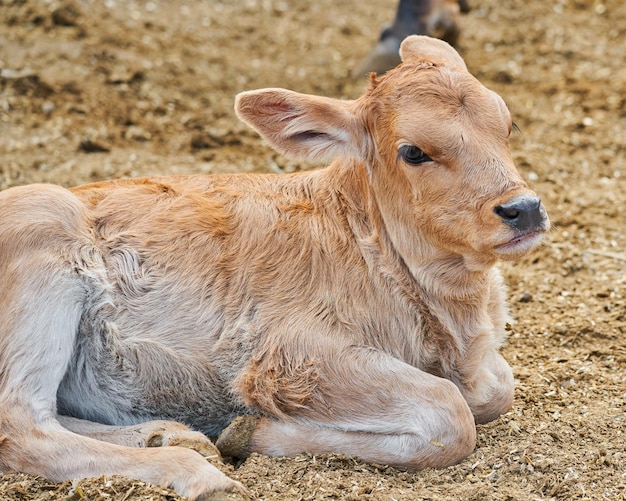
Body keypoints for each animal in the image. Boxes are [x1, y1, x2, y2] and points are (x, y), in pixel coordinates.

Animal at [0, 35, 544, 496]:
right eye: (413, 151)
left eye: (508, 125)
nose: (524, 209)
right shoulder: (287, 357)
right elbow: (450, 415)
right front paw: (249, 431)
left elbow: (499, 388)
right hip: (43, 233)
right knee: (20, 425)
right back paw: (195, 471)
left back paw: (168, 435)